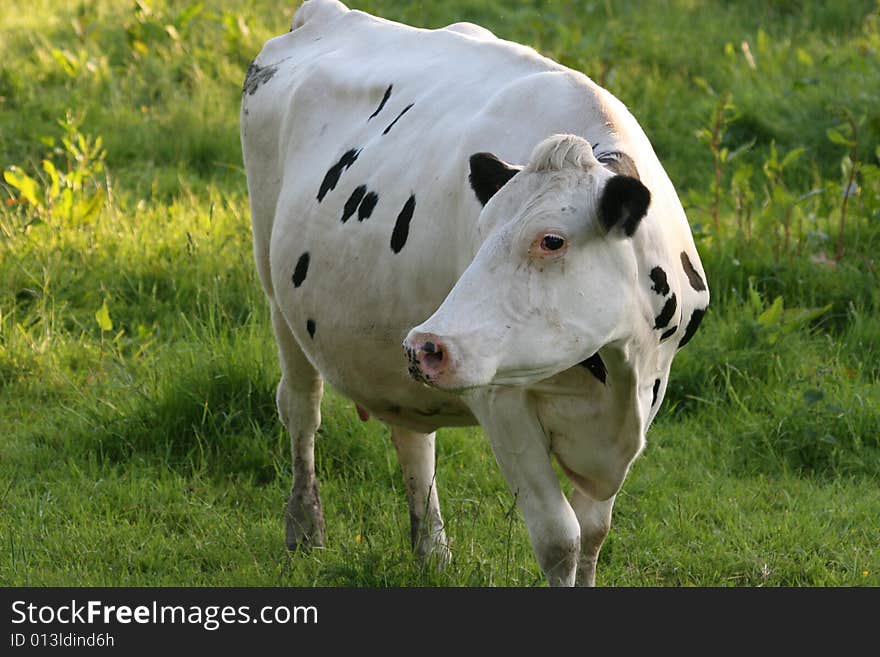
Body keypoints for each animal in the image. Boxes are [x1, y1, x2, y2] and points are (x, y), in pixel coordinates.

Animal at [239, 0, 708, 584]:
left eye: (551, 240)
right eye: (480, 232)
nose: (428, 345)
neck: (621, 370)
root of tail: (325, 14)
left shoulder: (643, 396)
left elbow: (595, 533)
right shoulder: (500, 400)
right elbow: (562, 539)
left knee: (413, 438)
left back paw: (432, 551)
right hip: (277, 292)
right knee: (302, 408)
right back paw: (305, 529)